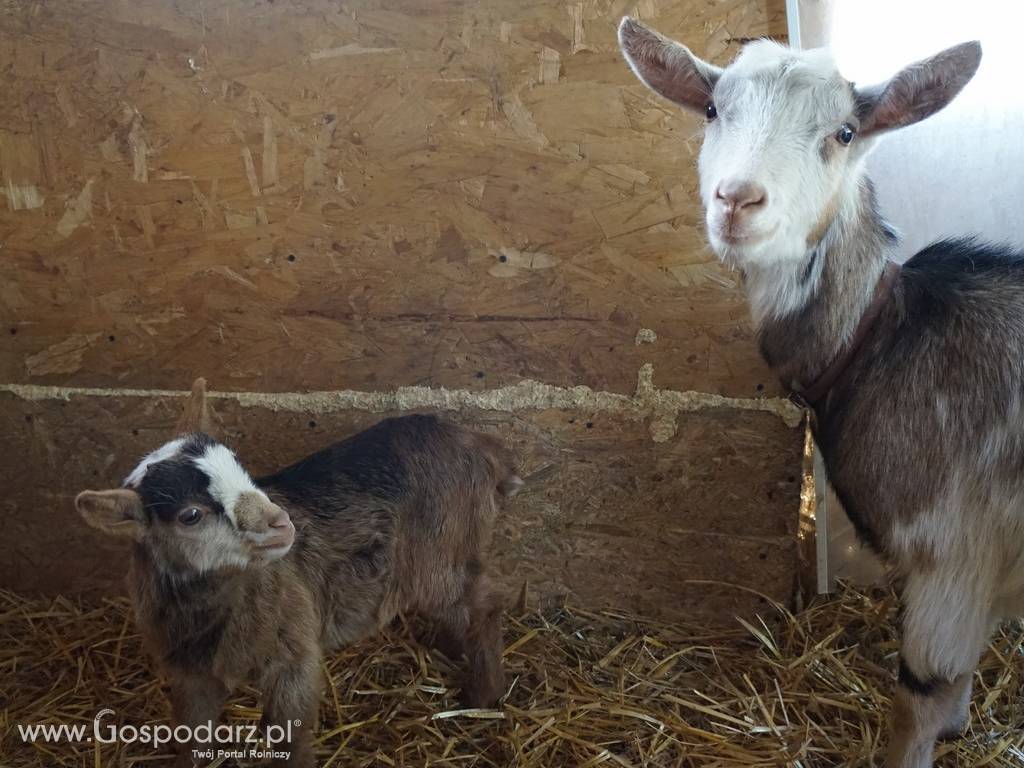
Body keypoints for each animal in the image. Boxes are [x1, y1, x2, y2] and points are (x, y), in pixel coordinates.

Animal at [75, 382, 520, 765]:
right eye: (191, 515)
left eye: (240, 467)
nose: (280, 523)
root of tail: (481, 445)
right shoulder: (190, 672)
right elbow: (192, 730)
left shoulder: (293, 654)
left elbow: (288, 735)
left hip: (441, 555)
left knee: (485, 601)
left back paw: (484, 694)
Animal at [614, 18, 1015, 768]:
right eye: (712, 109)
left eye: (845, 131)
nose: (738, 199)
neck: (883, 334)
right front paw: (959, 725)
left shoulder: (951, 553)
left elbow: (922, 695)